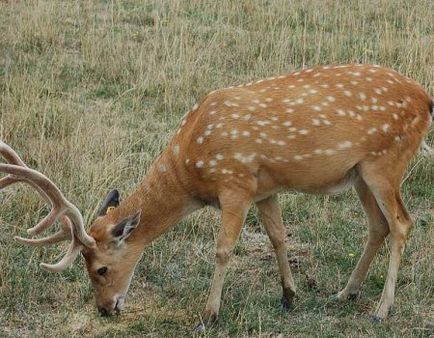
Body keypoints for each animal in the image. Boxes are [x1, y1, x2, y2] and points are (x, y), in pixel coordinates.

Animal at [0, 64, 432, 330]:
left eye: (101, 269)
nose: (106, 310)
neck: (191, 169)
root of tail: (426, 100)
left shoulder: (235, 182)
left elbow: (224, 249)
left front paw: (208, 316)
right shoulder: (265, 187)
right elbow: (278, 237)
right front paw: (289, 296)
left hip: (386, 162)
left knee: (402, 224)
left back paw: (381, 311)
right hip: (359, 173)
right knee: (377, 226)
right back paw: (344, 293)